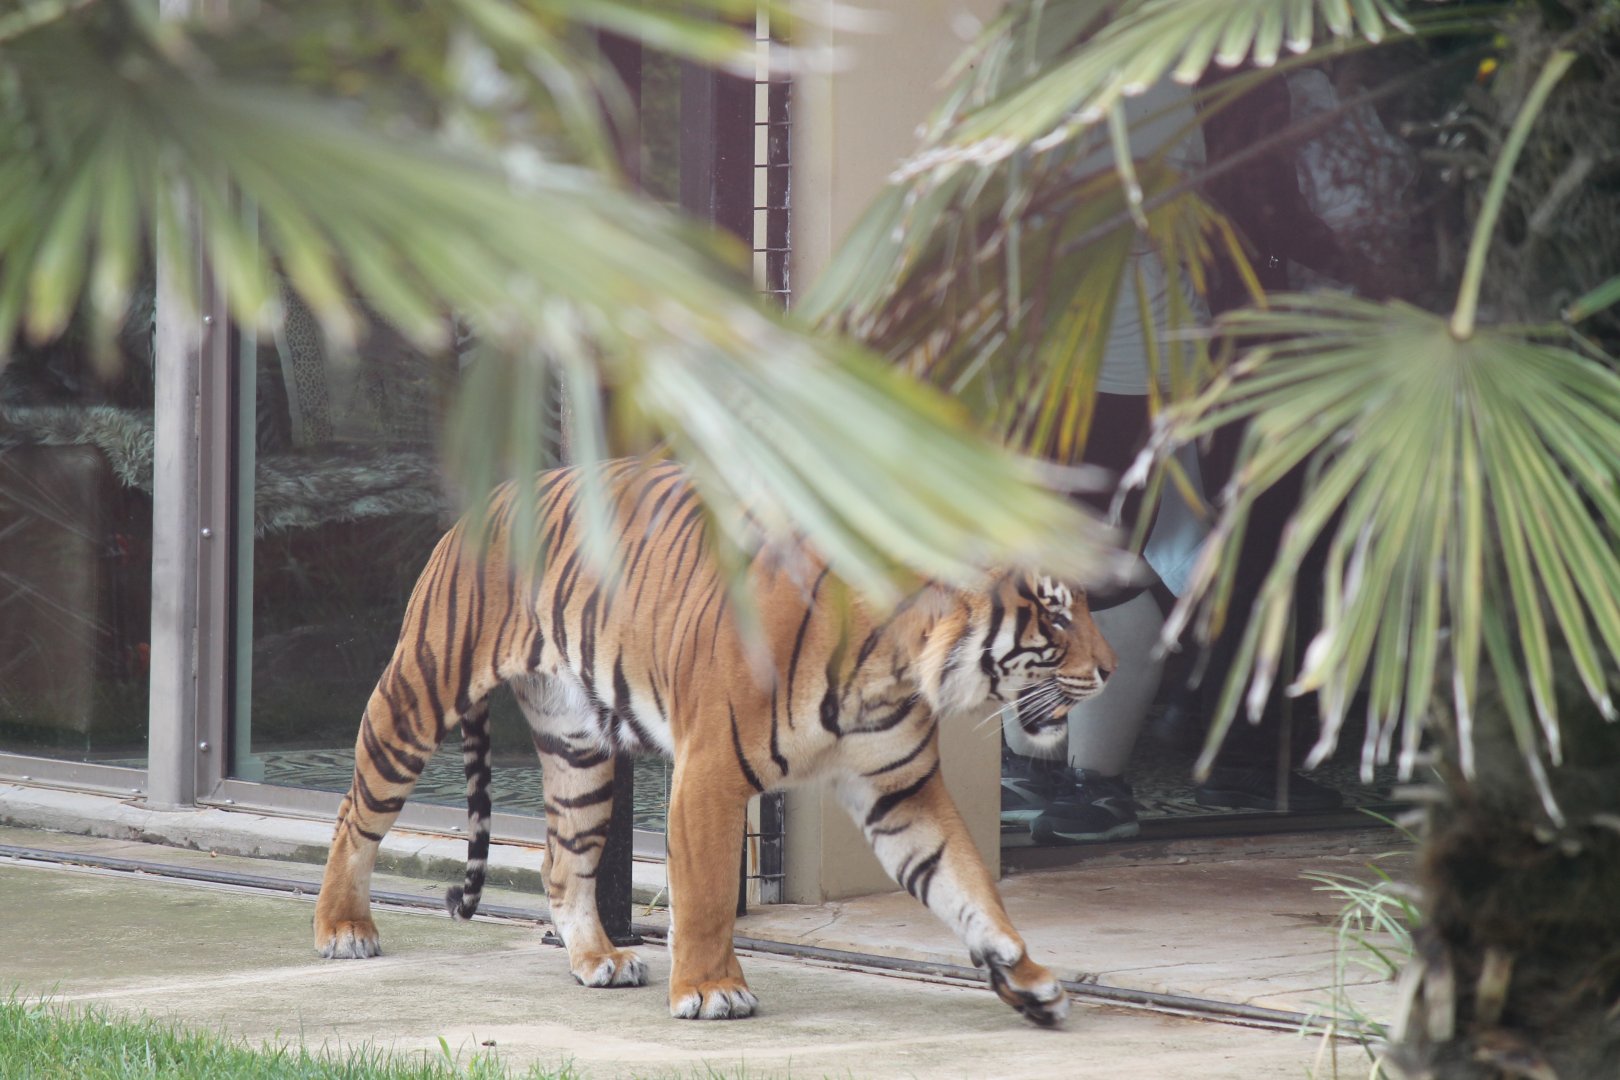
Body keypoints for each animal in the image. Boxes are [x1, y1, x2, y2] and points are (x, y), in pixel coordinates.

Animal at [313, 459, 1116, 1025]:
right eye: (1055, 613)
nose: (1110, 671)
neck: (894, 663)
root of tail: (487, 500)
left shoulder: (902, 790)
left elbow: (967, 884)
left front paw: (1028, 979)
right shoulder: (710, 773)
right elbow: (703, 896)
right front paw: (710, 992)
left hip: (581, 753)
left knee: (560, 863)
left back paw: (599, 958)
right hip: (418, 693)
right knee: (355, 813)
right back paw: (342, 929)